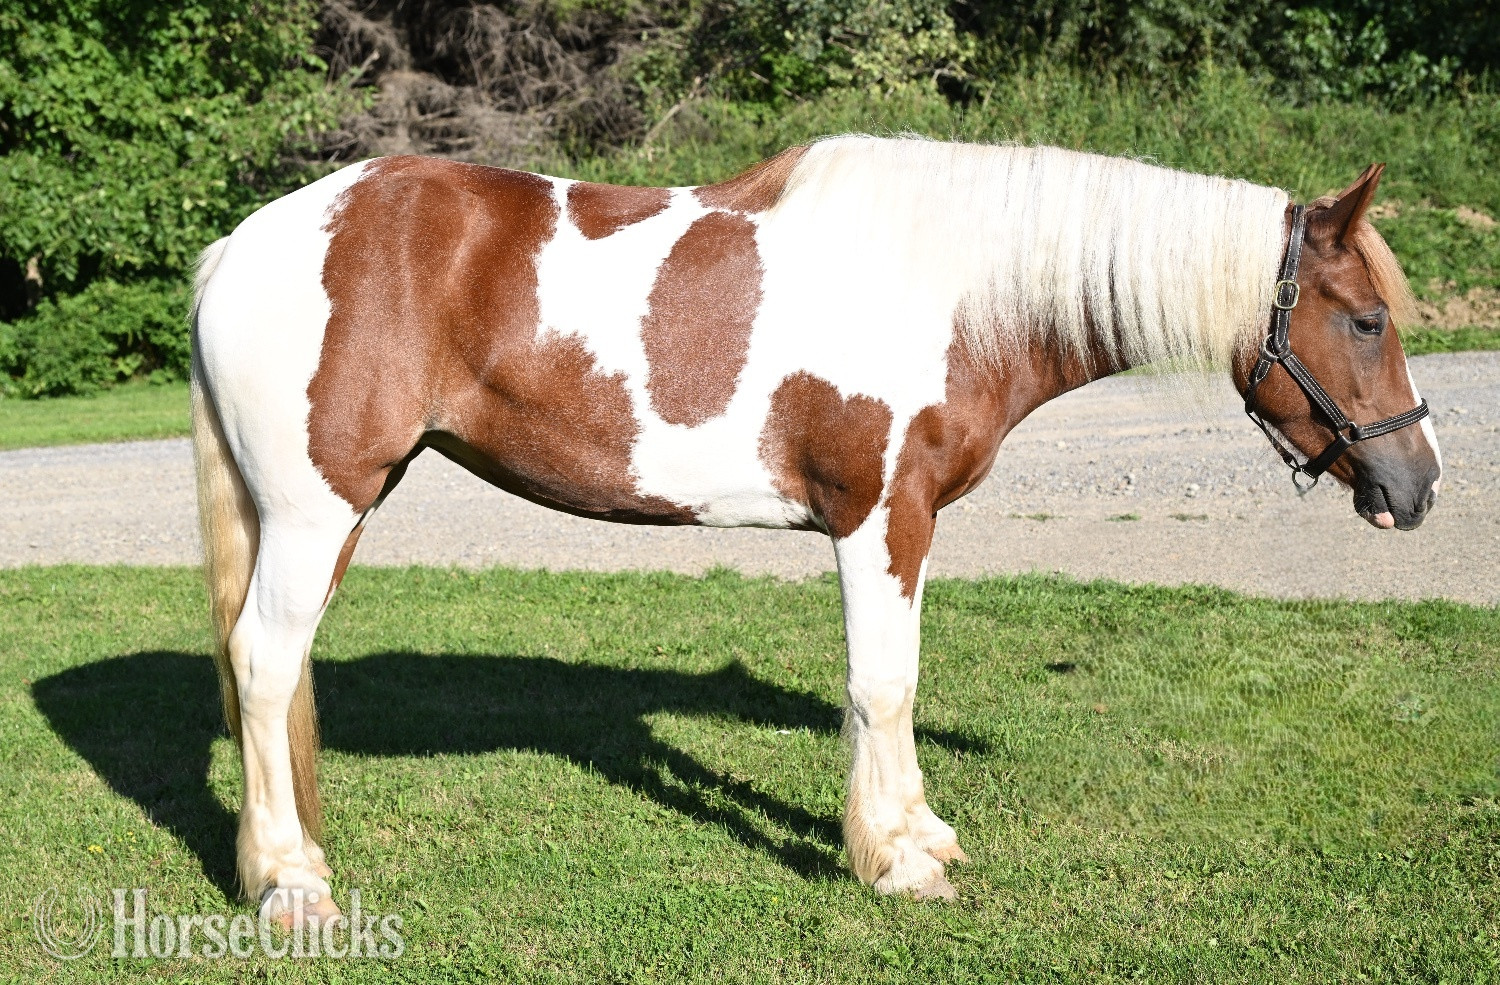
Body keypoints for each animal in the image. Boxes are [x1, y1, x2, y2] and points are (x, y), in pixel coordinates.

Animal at [188, 136, 1442, 925]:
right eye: (1365, 319)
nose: (1418, 484)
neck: (949, 288)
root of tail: (239, 245)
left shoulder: (908, 526)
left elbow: (902, 678)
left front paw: (922, 833)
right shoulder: (878, 517)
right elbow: (881, 684)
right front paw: (894, 863)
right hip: (315, 509)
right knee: (262, 663)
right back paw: (291, 884)